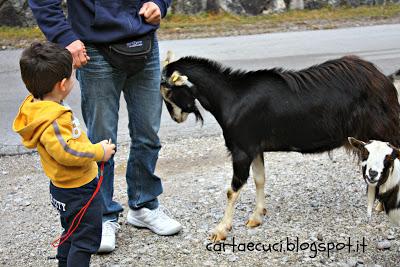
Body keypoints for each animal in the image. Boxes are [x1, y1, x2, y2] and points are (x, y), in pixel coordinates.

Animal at [159, 54, 400, 243]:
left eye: (169, 93)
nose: (176, 118)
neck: (230, 98)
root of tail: (385, 81)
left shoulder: (241, 149)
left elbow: (232, 190)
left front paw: (220, 230)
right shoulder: (255, 148)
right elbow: (259, 179)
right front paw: (256, 217)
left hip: (381, 130)